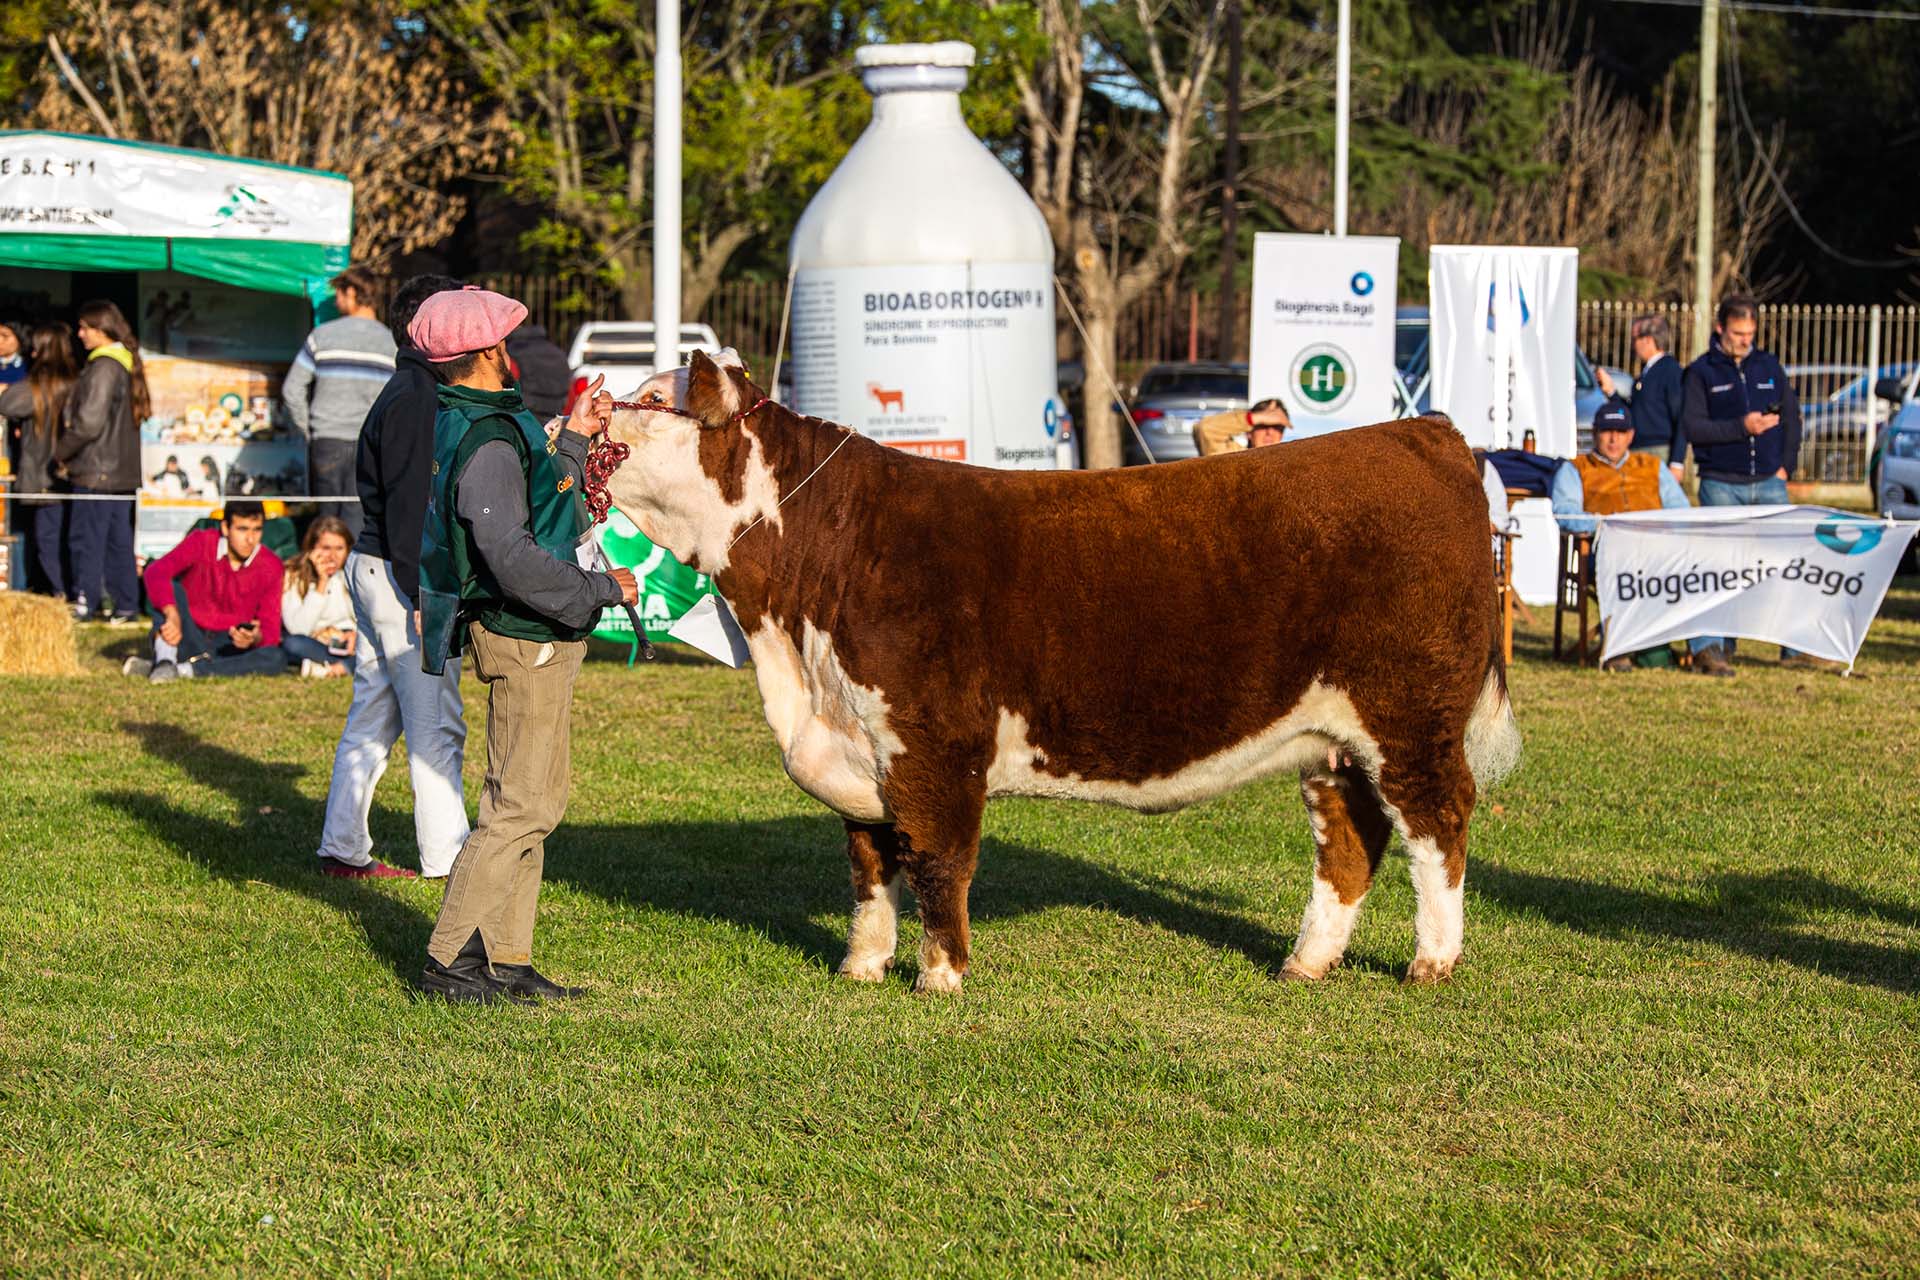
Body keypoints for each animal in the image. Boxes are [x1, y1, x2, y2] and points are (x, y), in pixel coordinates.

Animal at [599, 347, 1512, 990]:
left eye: (649, 401)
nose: (588, 406)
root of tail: (1423, 432)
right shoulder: (858, 745)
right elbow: (869, 868)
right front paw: (861, 968)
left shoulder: (935, 748)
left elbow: (937, 860)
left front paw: (940, 977)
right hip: (1333, 734)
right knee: (1350, 834)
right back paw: (1306, 962)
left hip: (1411, 716)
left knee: (1438, 820)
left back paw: (1432, 963)